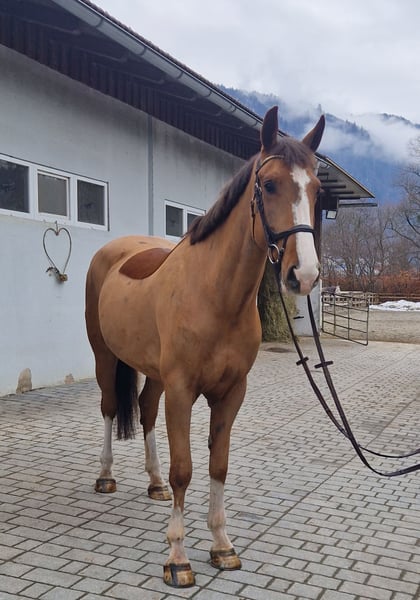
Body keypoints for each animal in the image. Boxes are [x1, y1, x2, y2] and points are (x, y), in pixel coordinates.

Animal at [85, 106, 325, 588]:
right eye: (270, 185)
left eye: (317, 190)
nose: (303, 275)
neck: (214, 295)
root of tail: (114, 249)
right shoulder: (182, 391)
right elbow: (186, 469)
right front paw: (177, 557)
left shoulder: (231, 393)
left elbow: (218, 465)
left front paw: (222, 546)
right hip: (105, 356)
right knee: (109, 406)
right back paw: (105, 476)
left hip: (154, 373)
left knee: (146, 411)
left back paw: (154, 483)